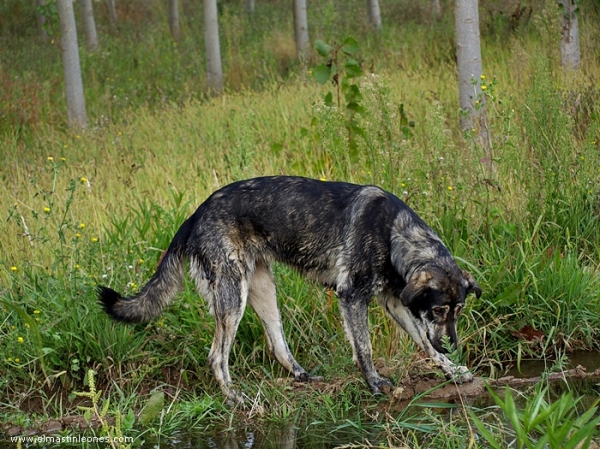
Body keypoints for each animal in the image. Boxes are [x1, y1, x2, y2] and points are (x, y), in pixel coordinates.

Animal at [99, 176, 482, 402]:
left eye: (459, 311)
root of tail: (195, 214)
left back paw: (301, 376)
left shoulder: (398, 303)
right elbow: (365, 348)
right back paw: (234, 397)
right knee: (216, 356)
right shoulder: (352, 297)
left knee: (277, 344)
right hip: (233, 296)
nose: (454, 344)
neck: (394, 234)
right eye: (438, 310)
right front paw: (373, 383)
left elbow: (426, 345)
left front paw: (453, 369)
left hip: (262, 289)